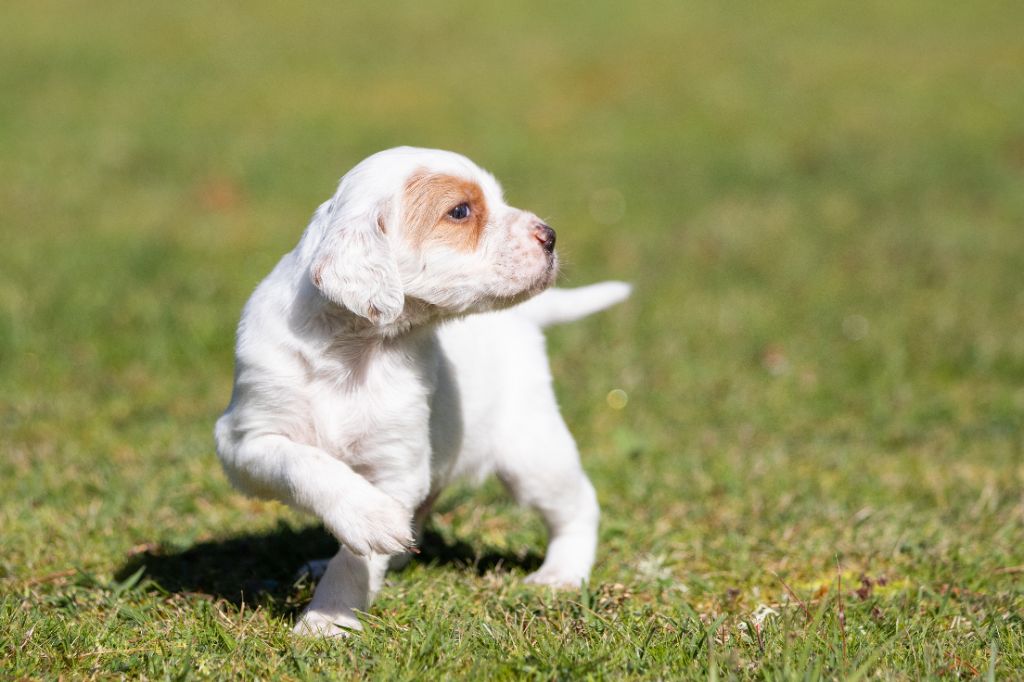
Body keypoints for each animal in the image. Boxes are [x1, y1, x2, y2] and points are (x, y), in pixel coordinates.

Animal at [214, 147, 629, 636]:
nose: (550, 236)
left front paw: (327, 620)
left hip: (534, 454)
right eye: (461, 211)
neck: (354, 350)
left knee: (579, 506)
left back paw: (561, 573)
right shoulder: (245, 440)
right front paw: (369, 519)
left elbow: (354, 562)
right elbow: (304, 462)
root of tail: (524, 318)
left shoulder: (397, 465)